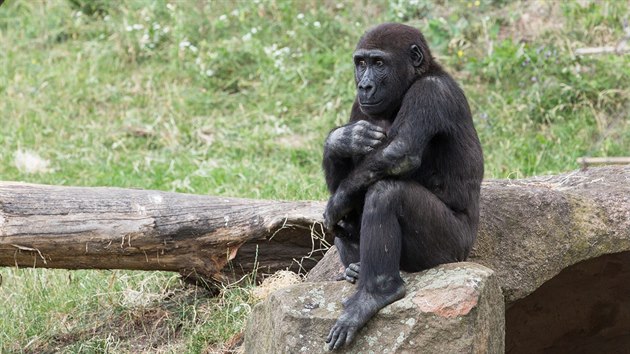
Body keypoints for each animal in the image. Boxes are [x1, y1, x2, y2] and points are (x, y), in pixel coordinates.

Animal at [324, 23, 486, 350]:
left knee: (387, 192)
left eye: (379, 63)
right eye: (360, 63)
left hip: (451, 250)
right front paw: (342, 139)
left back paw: (377, 292)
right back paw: (355, 268)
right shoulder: (359, 106)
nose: (365, 86)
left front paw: (337, 203)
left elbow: (400, 153)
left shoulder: (431, 93)